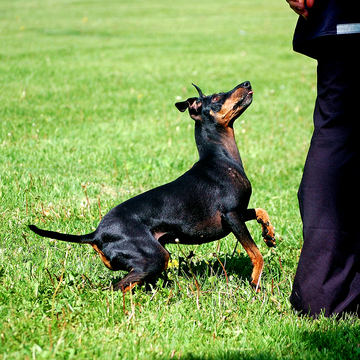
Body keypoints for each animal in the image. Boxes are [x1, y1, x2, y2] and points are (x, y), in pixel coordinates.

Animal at [29, 81, 276, 292]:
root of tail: (95, 235)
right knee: (117, 288)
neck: (221, 158)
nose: (246, 83)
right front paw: (256, 282)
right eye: (216, 97)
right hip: (155, 257)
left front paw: (269, 233)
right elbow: (256, 254)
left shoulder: (239, 212)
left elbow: (260, 211)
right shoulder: (231, 214)